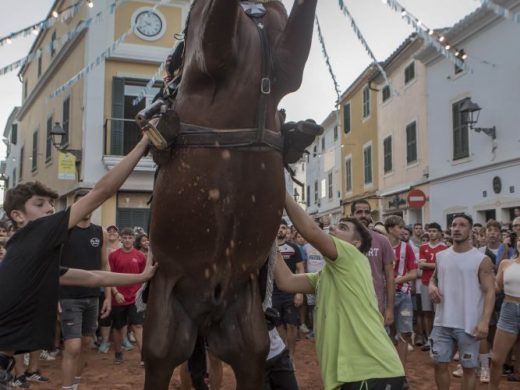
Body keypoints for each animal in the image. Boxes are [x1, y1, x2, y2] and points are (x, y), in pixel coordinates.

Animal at [142, 1, 318, 388]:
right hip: (168, 323)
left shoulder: (286, 63)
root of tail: (207, 312)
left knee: (250, 356)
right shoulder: (212, 52)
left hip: (245, 330)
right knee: (161, 357)